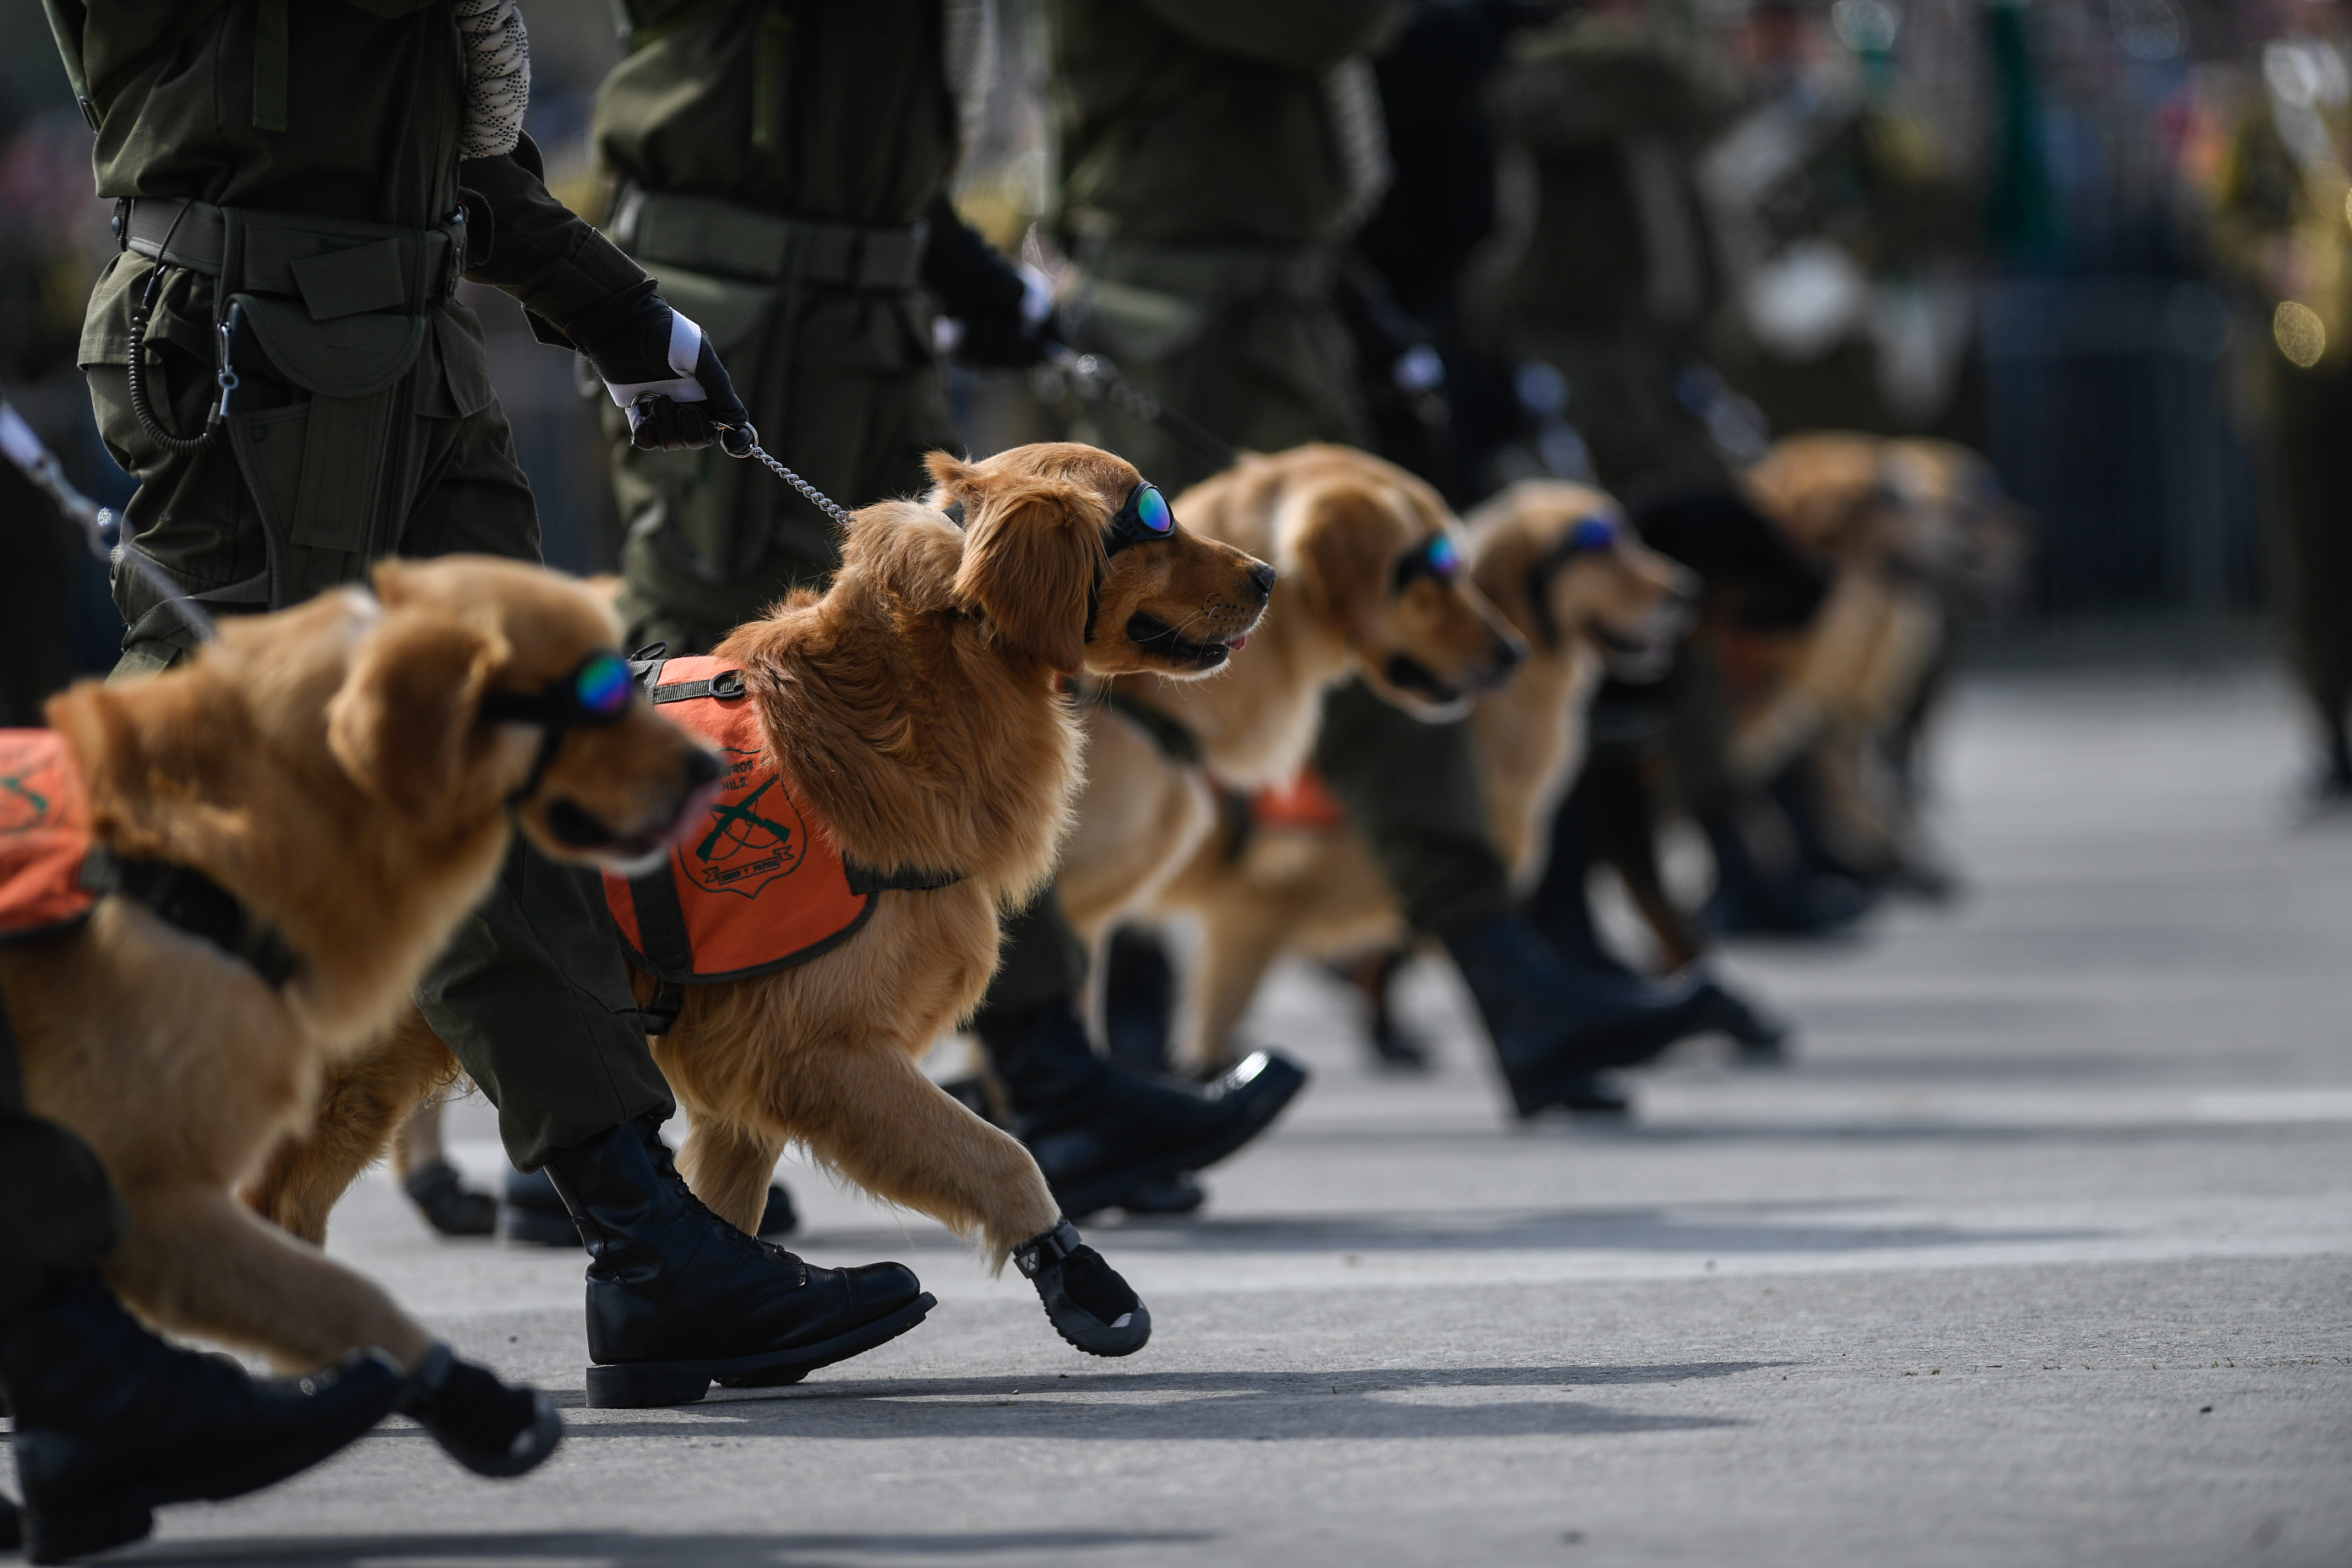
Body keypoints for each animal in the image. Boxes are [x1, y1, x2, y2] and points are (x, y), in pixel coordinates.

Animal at [243, 444, 1270, 1401]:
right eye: (1152, 520)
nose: (1266, 574)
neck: (914, 690)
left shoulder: (752, 1063)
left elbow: (725, 1202)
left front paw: (729, 1322)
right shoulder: (820, 1048)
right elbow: (1001, 1155)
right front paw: (1082, 1281)